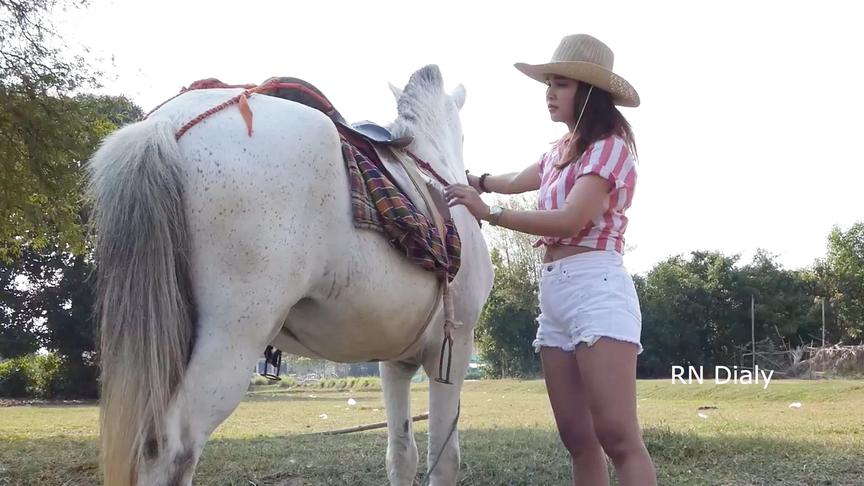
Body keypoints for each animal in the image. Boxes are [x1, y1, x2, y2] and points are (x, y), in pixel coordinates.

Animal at [89, 65, 492, 486]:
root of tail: (166, 124)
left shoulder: (395, 363)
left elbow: (401, 455)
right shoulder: (452, 349)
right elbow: (444, 461)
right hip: (233, 336)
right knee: (168, 449)